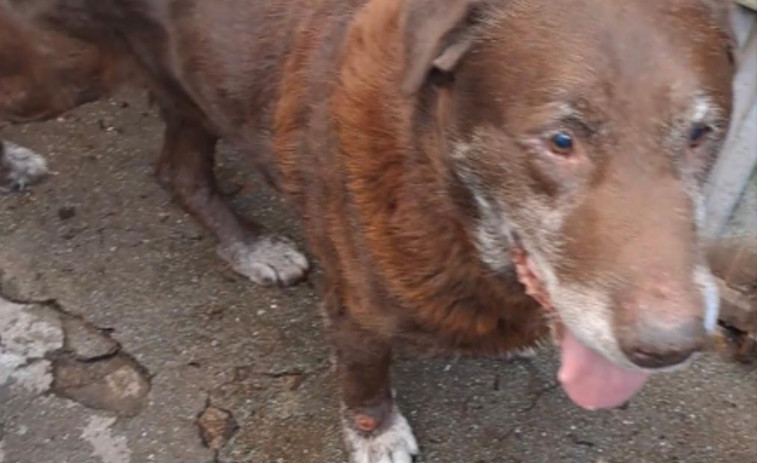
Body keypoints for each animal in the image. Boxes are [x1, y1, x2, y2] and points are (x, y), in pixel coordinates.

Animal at [0, 1, 732, 462]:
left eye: (702, 133)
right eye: (560, 140)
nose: (669, 347)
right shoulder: (356, 305)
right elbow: (364, 374)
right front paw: (375, 433)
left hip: (190, 81)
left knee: (178, 173)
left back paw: (250, 247)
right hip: (57, 77)